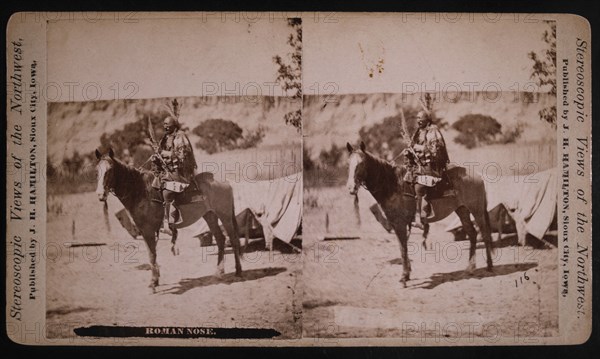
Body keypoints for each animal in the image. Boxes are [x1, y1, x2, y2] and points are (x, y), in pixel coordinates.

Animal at [95, 149, 243, 292]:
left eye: (110, 170)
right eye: (97, 171)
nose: (100, 195)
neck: (141, 191)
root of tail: (224, 181)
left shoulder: (148, 231)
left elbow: (152, 255)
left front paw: (153, 284)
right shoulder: (145, 231)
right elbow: (152, 254)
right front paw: (155, 280)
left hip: (225, 216)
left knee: (234, 240)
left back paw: (238, 271)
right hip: (210, 215)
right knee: (220, 240)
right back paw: (218, 273)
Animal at [346, 142, 492, 288]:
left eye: (361, 164)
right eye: (348, 164)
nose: (351, 188)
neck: (393, 185)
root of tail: (477, 175)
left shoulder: (400, 224)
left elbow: (403, 248)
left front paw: (404, 277)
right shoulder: (396, 224)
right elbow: (402, 247)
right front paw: (407, 274)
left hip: (477, 210)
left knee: (484, 233)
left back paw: (489, 266)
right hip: (462, 210)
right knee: (472, 234)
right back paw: (470, 268)